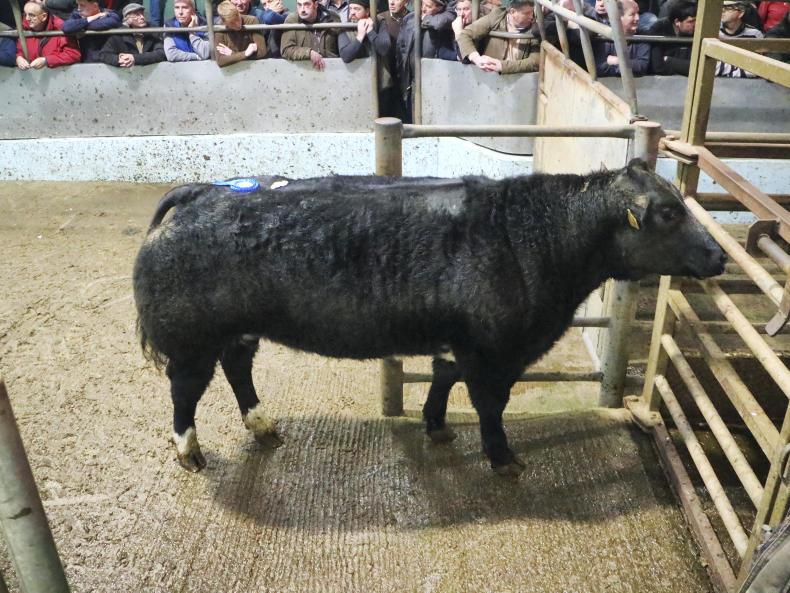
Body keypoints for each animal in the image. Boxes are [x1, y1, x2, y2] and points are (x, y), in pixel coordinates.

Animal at [133, 159, 726, 476]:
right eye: (669, 212)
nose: (719, 255)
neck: (531, 235)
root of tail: (203, 191)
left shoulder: (459, 341)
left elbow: (444, 377)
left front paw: (436, 426)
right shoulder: (495, 349)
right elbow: (489, 404)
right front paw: (502, 458)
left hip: (237, 332)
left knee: (238, 371)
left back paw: (263, 425)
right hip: (191, 340)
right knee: (185, 391)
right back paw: (189, 451)